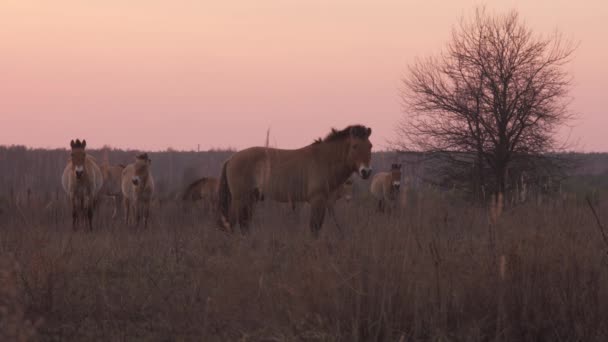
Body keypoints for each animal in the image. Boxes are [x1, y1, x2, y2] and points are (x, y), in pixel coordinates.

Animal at [216, 124, 372, 236]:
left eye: (370, 146)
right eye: (355, 146)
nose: (366, 172)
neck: (324, 159)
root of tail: (231, 159)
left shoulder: (325, 202)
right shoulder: (317, 201)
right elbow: (314, 228)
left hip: (250, 199)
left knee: (243, 224)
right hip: (240, 199)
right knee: (233, 223)